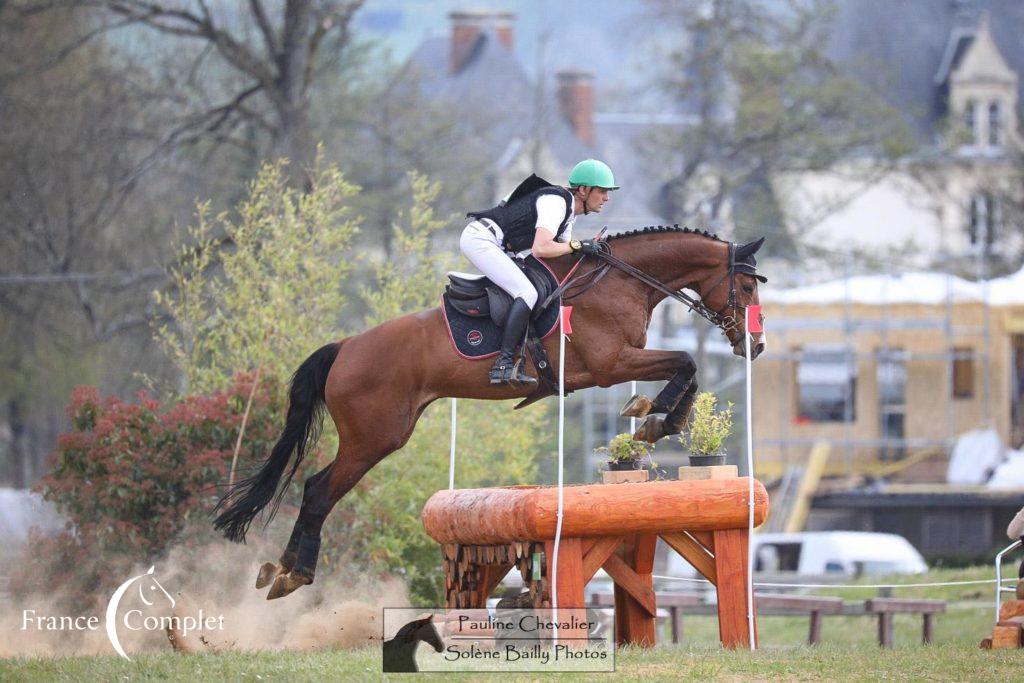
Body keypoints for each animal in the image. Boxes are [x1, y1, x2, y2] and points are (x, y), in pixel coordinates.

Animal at [216, 225, 765, 598]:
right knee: (318, 491)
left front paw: (659, 420)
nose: (754, 347)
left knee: (316, 488)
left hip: (374, 435)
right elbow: (686, 360)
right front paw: (658, 415)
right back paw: (294, 574)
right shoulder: (610, 365)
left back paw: (282, 570)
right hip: (375, 437)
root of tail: (345, 346)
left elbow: (687, 367)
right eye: (749, 288)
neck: (620, 281)